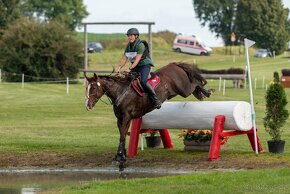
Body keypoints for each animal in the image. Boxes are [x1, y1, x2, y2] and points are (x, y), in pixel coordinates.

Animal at [84, 62, 213, 170]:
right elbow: (122, 136)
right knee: (194, 85)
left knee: (195, 83)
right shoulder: (119, 119)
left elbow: (122, 136)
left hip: (183, 89)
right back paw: (201, 94)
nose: (88, 105)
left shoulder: (126, 117)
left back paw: (206, 92)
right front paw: (120, 156)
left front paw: (120, 157)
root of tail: (174, 64)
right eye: (86, 88)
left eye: (94, 88)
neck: (120, 92)